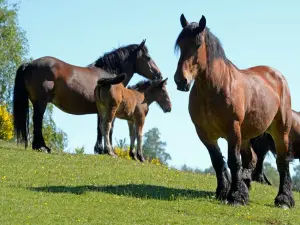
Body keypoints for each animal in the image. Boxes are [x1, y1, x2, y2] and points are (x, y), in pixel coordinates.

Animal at [12, 39, 162, 154]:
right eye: (148, 57)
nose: (159, 74)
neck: (109, 75)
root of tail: (29, 64)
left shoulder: (100, 110)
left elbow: (99, 128)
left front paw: (100, 149)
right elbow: (107, 127)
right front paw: (106, 150)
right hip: (41, 102)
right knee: (37, 120)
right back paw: (42, 147)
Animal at [173, 13, 292, 207]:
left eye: (197, 44)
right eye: (180, 45)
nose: (181, 80)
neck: (215, 88)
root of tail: (277, 75)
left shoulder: (233, 130)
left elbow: (233, 161)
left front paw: (235, 196)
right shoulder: (204, 133)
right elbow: (217, 161)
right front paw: (223, 191)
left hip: (280, 132)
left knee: (282, 162)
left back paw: (284, 199)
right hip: (246, 136)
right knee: (251, 159)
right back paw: (246, 186)